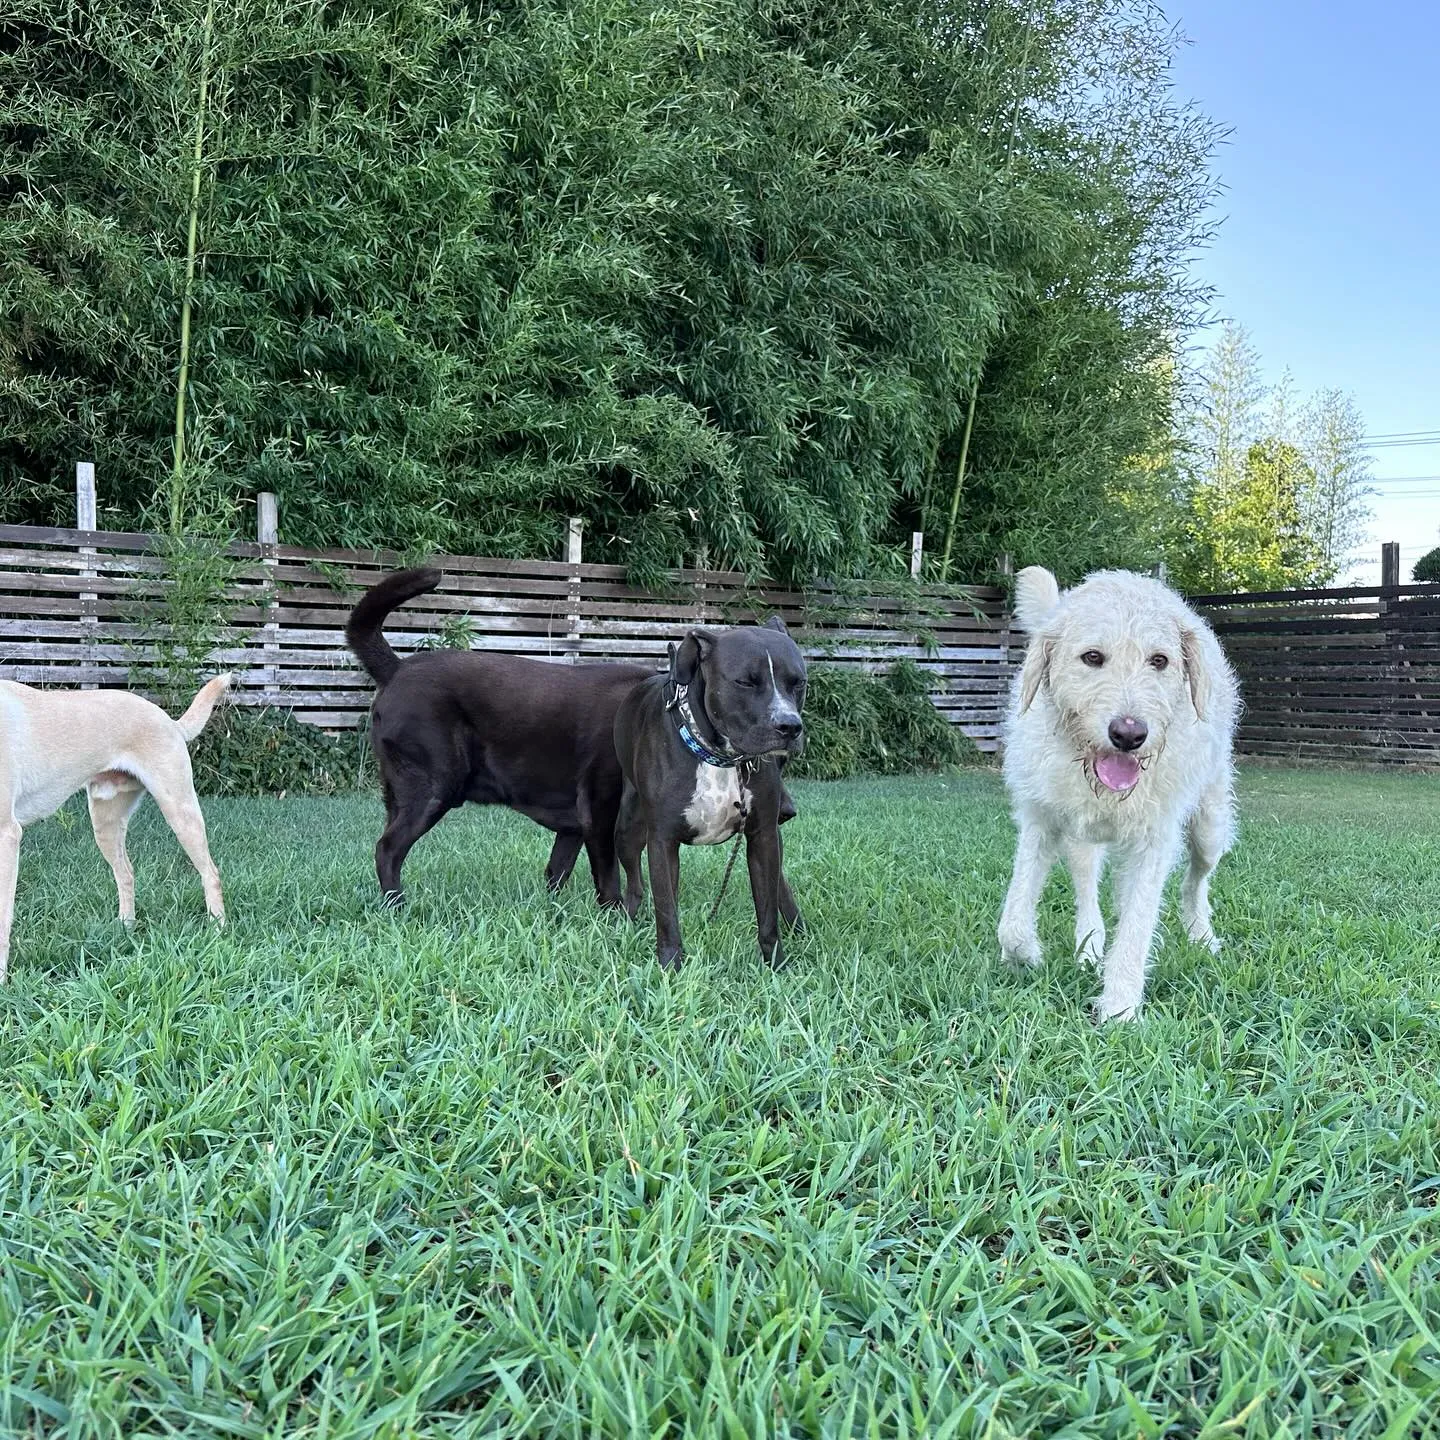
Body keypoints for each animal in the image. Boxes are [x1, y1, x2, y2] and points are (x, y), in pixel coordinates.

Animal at [0, 673, 228, 979]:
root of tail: (169, 721)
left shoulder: (7, 835)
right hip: (105, 822)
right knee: (126, 873)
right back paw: (126, 929)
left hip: (179, 810)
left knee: (210, 873)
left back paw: (218, 930)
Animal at [342, 567, 648, 904]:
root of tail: (398, 668)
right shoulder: (600, 811)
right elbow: (609, 880)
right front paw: (617, 914)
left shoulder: (575, 826)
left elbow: (557, 870)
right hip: (431, 789)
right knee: (388, 849)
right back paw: (398, 905)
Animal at [610, 619, 806, 967]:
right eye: (745, 682)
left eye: (799, 683)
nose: (790, 726)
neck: (722, 756)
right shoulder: (662, 841)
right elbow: (666, 911)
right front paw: (670, 967)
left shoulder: (763, 837)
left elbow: (767, 911)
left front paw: (776, 966)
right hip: (628, 829)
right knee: (636, 882)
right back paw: (631, 919)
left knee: (780, 883)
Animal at [1002, 564, 1238, 1025]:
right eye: (1092, 657)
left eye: (1159, 660)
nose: (1129, 734)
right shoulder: (1040, 820)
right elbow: (1013, 922)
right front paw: (1026, 957)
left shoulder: (1153, 841)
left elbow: (1137, 923)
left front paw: (1120, 1008)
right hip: (1082, 840)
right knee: (1086, 889)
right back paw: (1089, 946)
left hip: (1209, 828)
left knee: (1195, 881)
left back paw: (1201, 935)